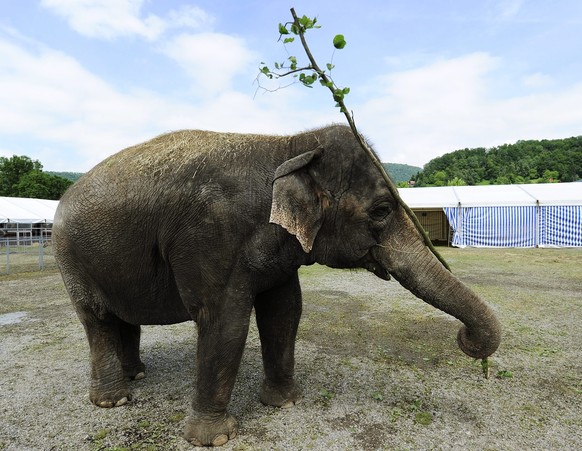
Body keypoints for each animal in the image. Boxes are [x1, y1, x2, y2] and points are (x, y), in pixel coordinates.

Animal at [52, 124, 504, 448]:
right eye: (381, 210)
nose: (466, 340)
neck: (288, 143)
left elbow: (285, 312)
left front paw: (284, 402)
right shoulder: (211, 237)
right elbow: (225, 322)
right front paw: (214, 438)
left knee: (122, 319)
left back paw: (137, 376)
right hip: (70, 259)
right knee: (97, 320)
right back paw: (114, 400)